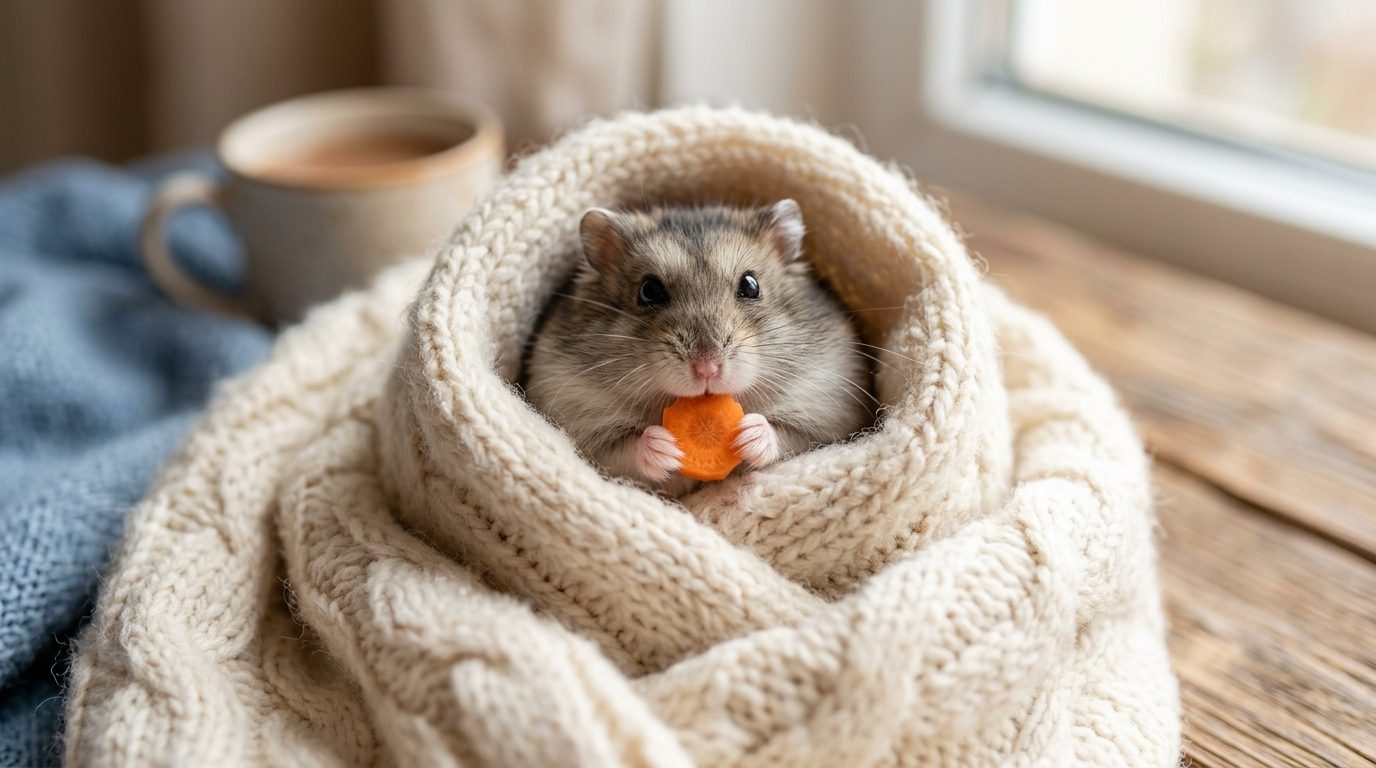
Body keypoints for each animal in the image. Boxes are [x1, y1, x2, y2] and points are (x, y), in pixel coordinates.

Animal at [524, 200, 873, 496]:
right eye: (649, 290)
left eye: (751, 285)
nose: (707, 368)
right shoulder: (588, 432)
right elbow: (624, 452)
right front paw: (665, 446)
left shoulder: (825, 419)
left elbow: (786, 435)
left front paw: (747, 433)